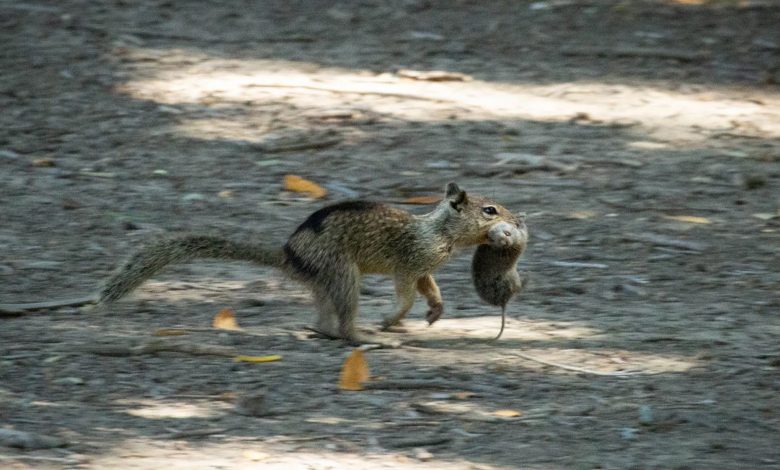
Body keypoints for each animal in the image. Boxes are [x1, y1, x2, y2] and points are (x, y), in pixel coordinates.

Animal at [99, 183, 524, 346]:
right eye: (490, 210)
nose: (518, 219)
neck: (439, 230)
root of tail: (288, 254)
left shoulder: (423, 268)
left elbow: (429, 288)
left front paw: (435, 311)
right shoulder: (410, 263)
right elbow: (405, 294)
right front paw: (391, 319)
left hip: (326, 281)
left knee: (323, 318)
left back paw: (323, 331)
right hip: (343, 274)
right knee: (346, 321)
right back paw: (365, 336)